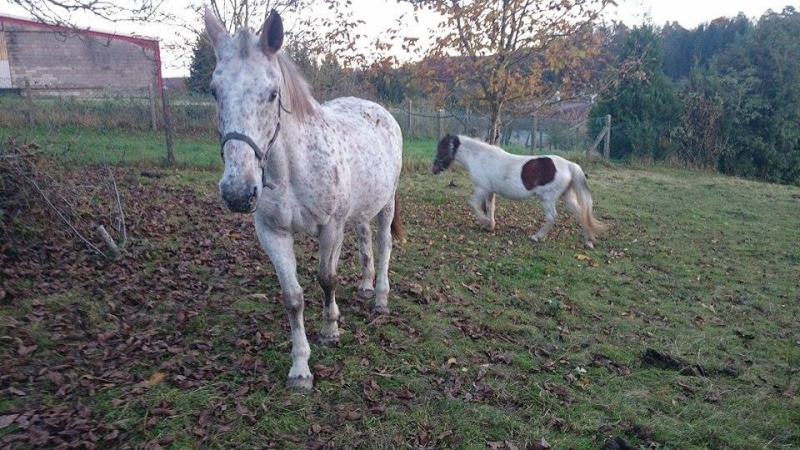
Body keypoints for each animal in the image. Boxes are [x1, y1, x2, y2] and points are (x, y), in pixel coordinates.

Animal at [206, 7, 404, 390]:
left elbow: (327, 278)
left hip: (386, 203)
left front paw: (330, 330)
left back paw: (380, 299)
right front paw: (300, 367)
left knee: (383, 243)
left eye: (272, 93)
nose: (238, 192)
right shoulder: (273, 233)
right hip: (359, 211)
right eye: (214, 91)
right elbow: (293, 297)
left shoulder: (331, 228)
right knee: (365, 240)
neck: (291, 170)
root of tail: (378, 111)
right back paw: (365, 287)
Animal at [434, 134, 604, 250]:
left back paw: (537, 237)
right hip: (567, 196)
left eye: (442, 148)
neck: (480, 157)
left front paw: (485, 222)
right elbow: (490, 207)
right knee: (580, 213)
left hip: (547, 199)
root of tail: (568, 164)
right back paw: (589, 241)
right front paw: (490, 225)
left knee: (552, 216)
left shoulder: (482, 188)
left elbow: (474, 204)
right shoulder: (490, 191)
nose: (434, 169)